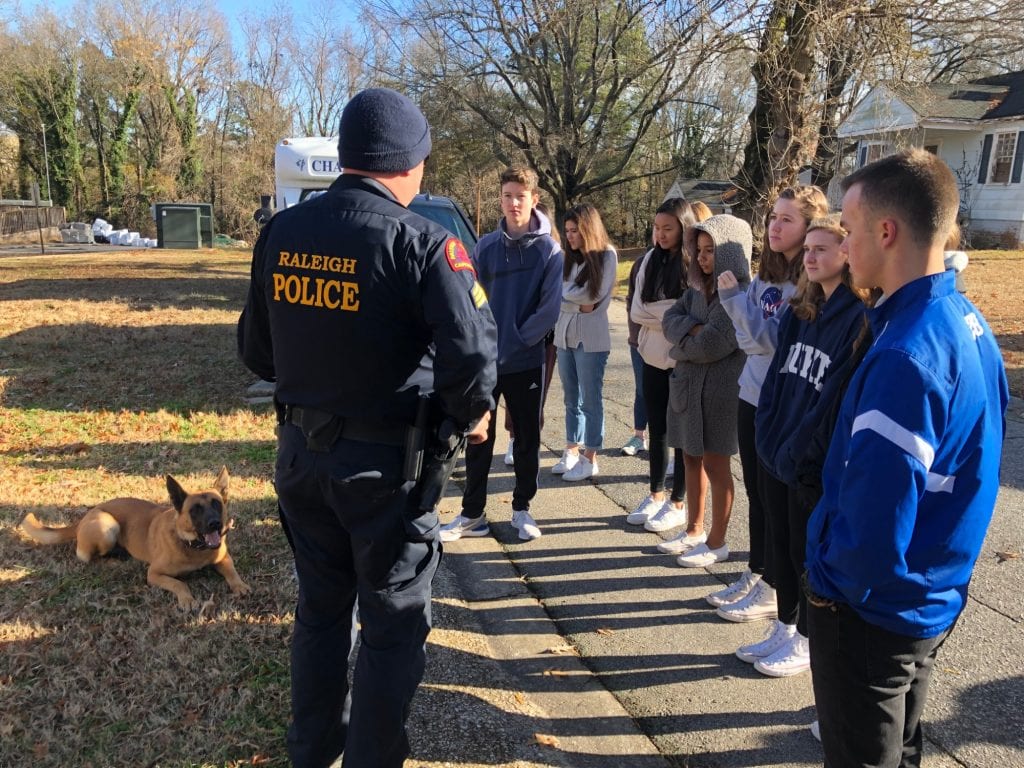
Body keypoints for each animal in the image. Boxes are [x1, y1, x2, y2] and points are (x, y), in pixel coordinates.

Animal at [19, 466, 249, 610]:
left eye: (216, 504)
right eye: (195, 510)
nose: (215, 524)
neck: (192, 546)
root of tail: (84, 517)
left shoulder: (223, 558)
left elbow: (232, 571)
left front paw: (239, 585)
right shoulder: (154, 574)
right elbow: (179, 584)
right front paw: (187, 599)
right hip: (107, 526)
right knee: (87, 558)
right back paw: (113, 561)